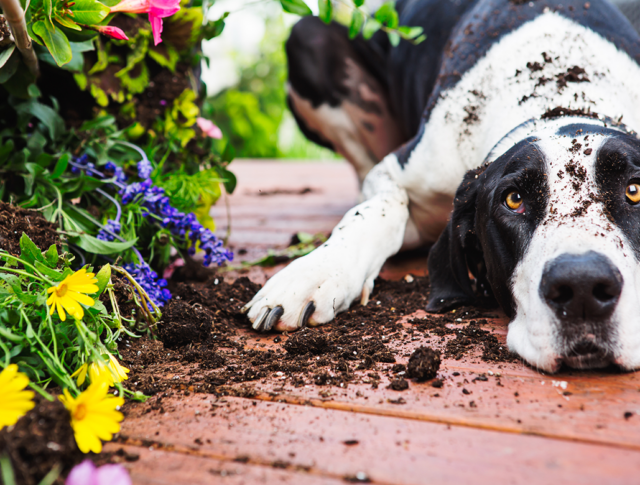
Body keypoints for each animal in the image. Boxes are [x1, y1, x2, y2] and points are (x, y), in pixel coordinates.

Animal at [241, 0, 640, 370]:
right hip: (309, 36)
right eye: (513, 200)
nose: (583, 287)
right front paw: (315, 273)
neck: (560, 95)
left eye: (634, 191)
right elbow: (376, 212)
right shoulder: (399, 171)